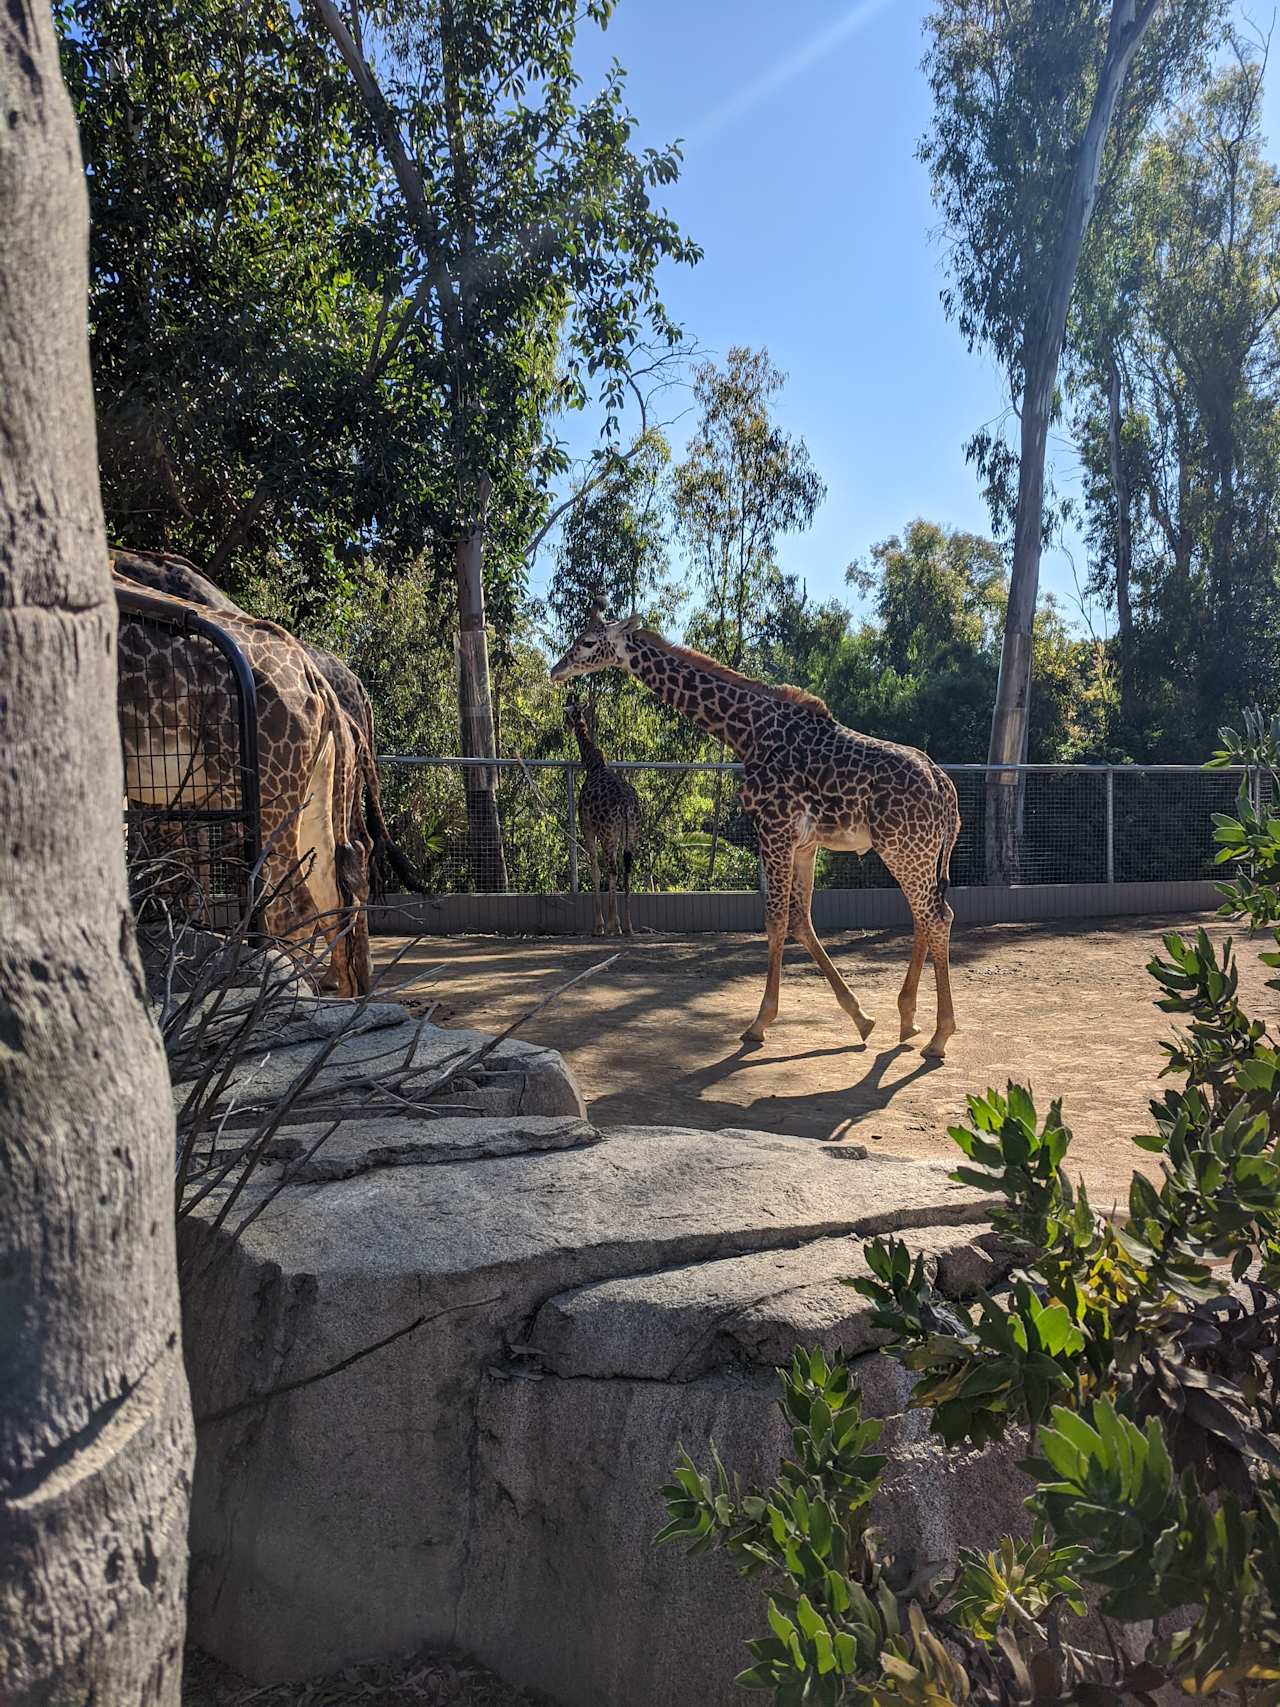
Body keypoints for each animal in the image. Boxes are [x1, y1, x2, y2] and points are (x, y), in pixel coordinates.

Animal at [564, 689, 641, 935]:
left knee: (613, 869)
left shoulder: (587, 827)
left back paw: (613, 925)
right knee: (627, 868)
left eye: (566, 713)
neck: (593, 764)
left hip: (609, 834)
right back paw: (628, 925)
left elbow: (595, 870)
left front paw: (599, 925)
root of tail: (626, 806)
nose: (565, 726)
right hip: (631, 833)